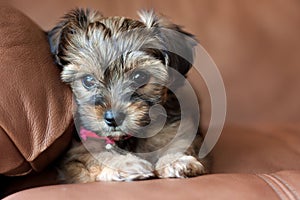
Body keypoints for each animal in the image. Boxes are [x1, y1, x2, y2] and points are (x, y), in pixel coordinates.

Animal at [48, 8, 209, 184]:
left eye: (139, 77)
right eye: (88, 80)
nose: (113, 118)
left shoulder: (178, 128)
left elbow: (180, 141)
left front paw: (176, 160)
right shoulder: (74, 155)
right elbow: (97, 156)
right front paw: (127, 163)